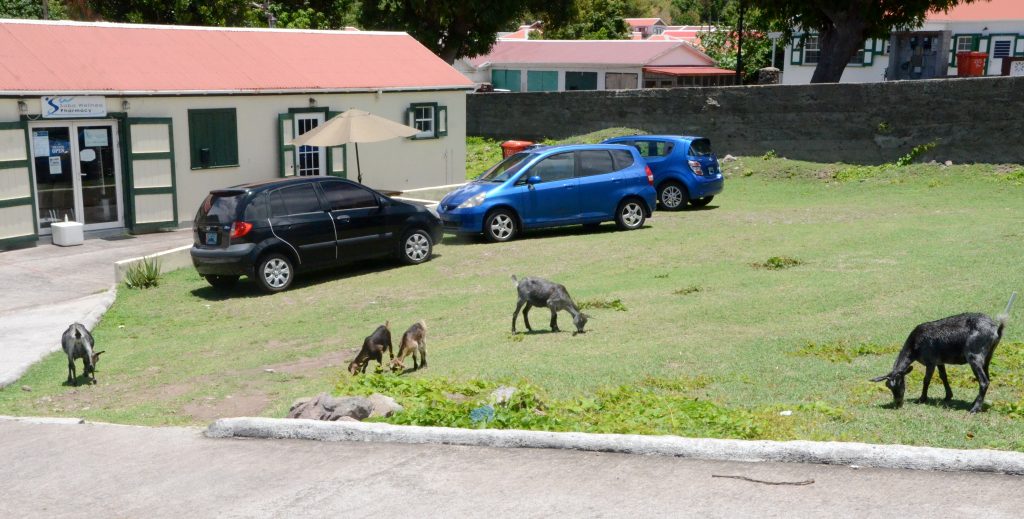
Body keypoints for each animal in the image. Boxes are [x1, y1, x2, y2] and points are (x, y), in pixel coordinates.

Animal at [872, 292, 1015, 413]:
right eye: (888, 386)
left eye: (901, 382)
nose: (898, 403)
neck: (914, 347)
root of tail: (996, 330)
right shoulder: (939, 361)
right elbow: (943, 376)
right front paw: (948, 396)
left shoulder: (930, 361)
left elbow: (926, 379)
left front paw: (922, 399)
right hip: (988, 356)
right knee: (987, 378)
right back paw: (974, 403)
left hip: (974, 355)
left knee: (984, 381)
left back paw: (974, 409)